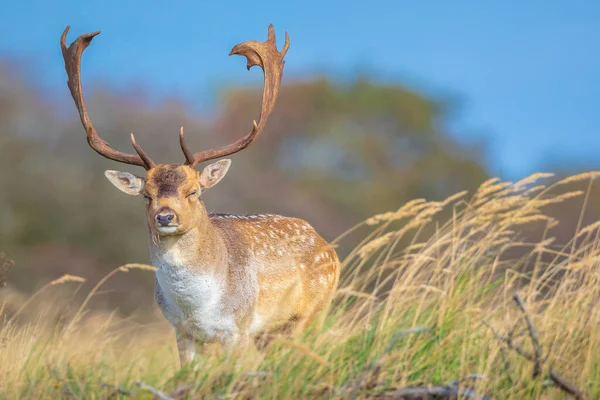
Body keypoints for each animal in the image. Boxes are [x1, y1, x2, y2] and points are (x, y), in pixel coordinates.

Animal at [61, 25, 342, 366]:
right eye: (146, 195)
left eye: (193, 191)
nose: (165, 216)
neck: (197, 308)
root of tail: (328, 247)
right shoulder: (181, 332)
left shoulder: (238, 327)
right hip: (270, 333)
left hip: (311, 313)